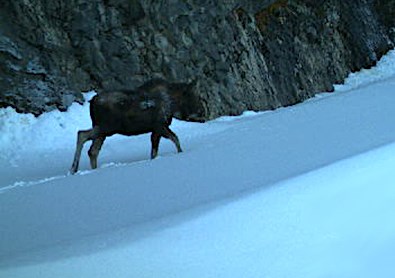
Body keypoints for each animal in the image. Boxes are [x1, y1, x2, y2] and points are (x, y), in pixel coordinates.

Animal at [70, 78, 200, 174]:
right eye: (193, 96)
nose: (201, 113)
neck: (173, 105)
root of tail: (92, 102)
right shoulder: (160, 126)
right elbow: (175, 139)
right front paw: (181, 153)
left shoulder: (155, 130)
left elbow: (154, 151)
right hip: (105, 127)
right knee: (82, 135)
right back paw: (73, 169)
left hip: (103, 131)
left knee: (92, 151)